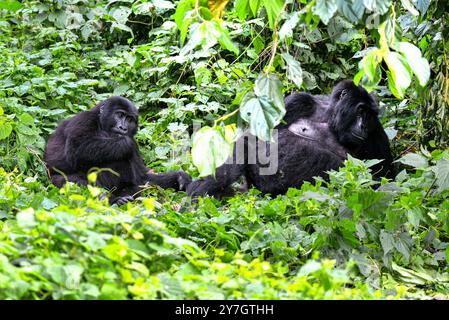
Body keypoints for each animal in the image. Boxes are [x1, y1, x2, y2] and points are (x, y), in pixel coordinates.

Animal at [45, 95, 191, 205]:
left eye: (130, 119)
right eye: (120, 115)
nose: (123, 128)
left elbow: (143, 177)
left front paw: (179, 178)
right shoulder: (84, 119)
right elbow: (78, 149)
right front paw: (128, 143)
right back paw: (114, 200)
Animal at [187, 80, 394, 199]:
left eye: (370, 116)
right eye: (360, 111)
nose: (363, 126)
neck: (330, 118)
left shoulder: (376, 132)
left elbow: (383, 181)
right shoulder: (300, 100)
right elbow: (254, 137)